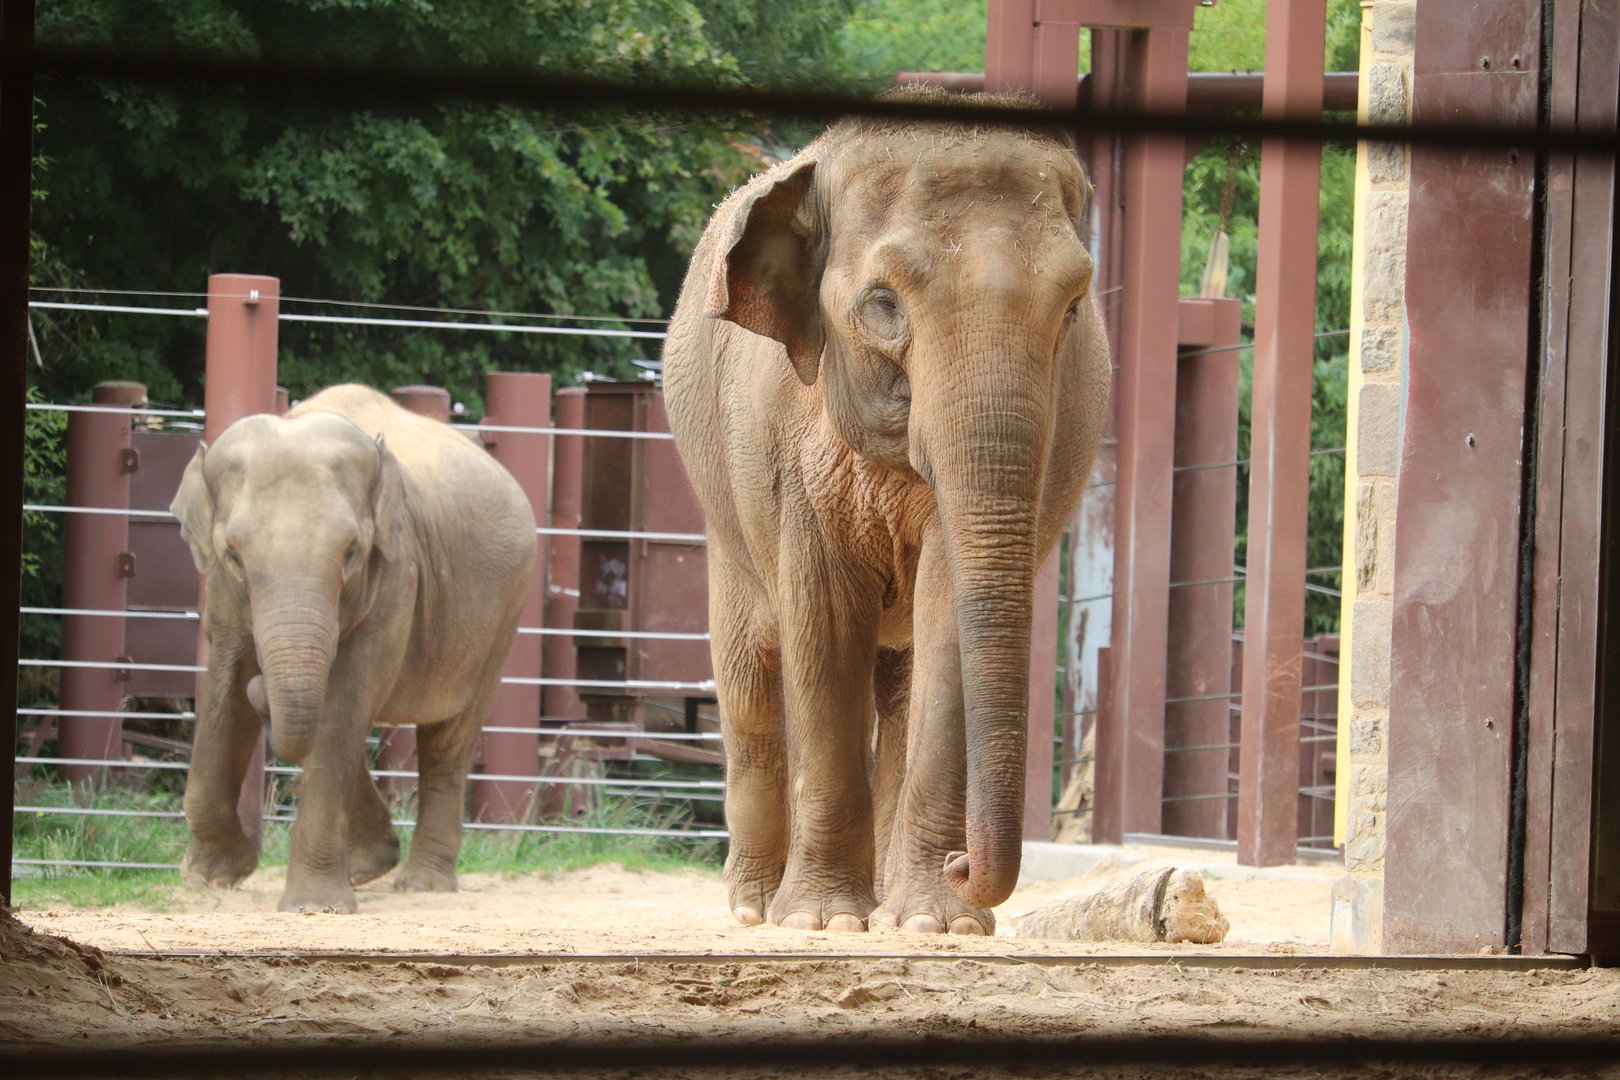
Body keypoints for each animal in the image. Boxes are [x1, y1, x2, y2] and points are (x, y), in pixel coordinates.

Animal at [171, 383, 536, 913]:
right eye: (234, 556)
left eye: (351, 553)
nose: (264, 685)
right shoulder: (220, 590)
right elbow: (226, 687)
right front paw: (210, 877)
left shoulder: (397, 573)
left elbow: (345, 701)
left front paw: (313, 907)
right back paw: (369, 867)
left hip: (505, 611)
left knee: (449, 740)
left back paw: (421, 884)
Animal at [662, 92, 1110, 935]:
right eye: (882, 305)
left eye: (1073, 306)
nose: (968, 864)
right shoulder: (780, 443)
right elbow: (823, 623)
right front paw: (822, 922)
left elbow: (945, 620)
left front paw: (937, 924)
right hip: (721, 514)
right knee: (750, 678)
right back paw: (754, 907)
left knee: (900, 685)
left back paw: (886, 901)